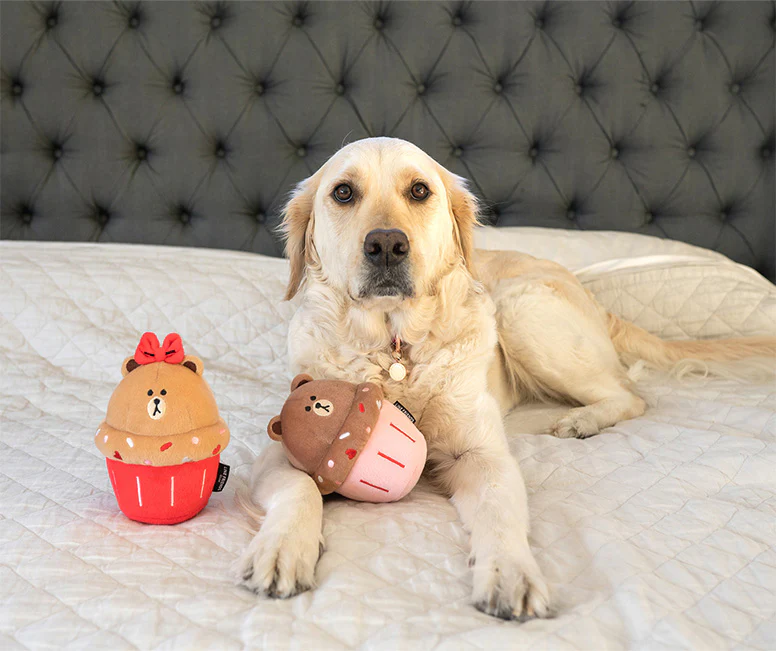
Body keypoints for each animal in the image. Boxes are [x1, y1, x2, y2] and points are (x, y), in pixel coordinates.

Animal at [236, 135, 776, 620]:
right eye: (343, 192)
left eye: (419, 191)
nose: (387, 244)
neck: (395, 352)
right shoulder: (280, 451)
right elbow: (301, 490)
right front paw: (281, 549)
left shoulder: (482, 454)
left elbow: (499, 516)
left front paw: (510, 573)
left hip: (522, 312)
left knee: (630, 393)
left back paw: (582, 420)